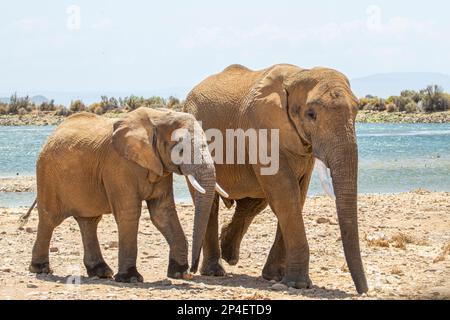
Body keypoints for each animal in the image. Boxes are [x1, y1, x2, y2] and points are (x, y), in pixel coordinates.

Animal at [26, 107, 227, 282]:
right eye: (180, 150)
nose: (193, 271)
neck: (157, 117)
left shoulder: (159, 166)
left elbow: (162, 212)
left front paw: (178, 273)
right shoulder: (118, 165)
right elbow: (129, 213)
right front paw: (130, 278)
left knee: (89, 221)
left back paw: (101, 272)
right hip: (47, 175)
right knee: (49, 219)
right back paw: (41, 269)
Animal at [184, 63, 370, 294]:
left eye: (357, 111)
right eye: (311, 114)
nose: (364, 290)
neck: (297, 74)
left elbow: (297, 195)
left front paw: (275, 277)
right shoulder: (260, 129)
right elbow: (285, 195)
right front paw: (298, 284)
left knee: (254, 202)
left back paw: (229, 253)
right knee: (211, 202)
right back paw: (215, 271)